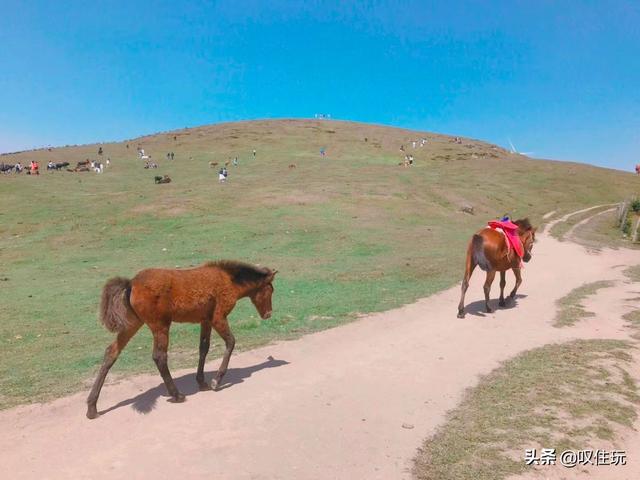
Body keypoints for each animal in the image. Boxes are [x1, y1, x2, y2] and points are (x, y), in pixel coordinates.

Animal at [86, 260, 276, 418]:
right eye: (270, 290)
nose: (268, 314)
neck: (228, 280)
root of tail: (131, 283)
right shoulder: (218, 317)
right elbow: (231, 342)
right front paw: (216, 381)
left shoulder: (205, 320)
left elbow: (204, 348)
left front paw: (202, 382)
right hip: (160, 325)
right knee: (159, 356)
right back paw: (176, 394)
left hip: (133, 324)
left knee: (111, 352)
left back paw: (92, 407)